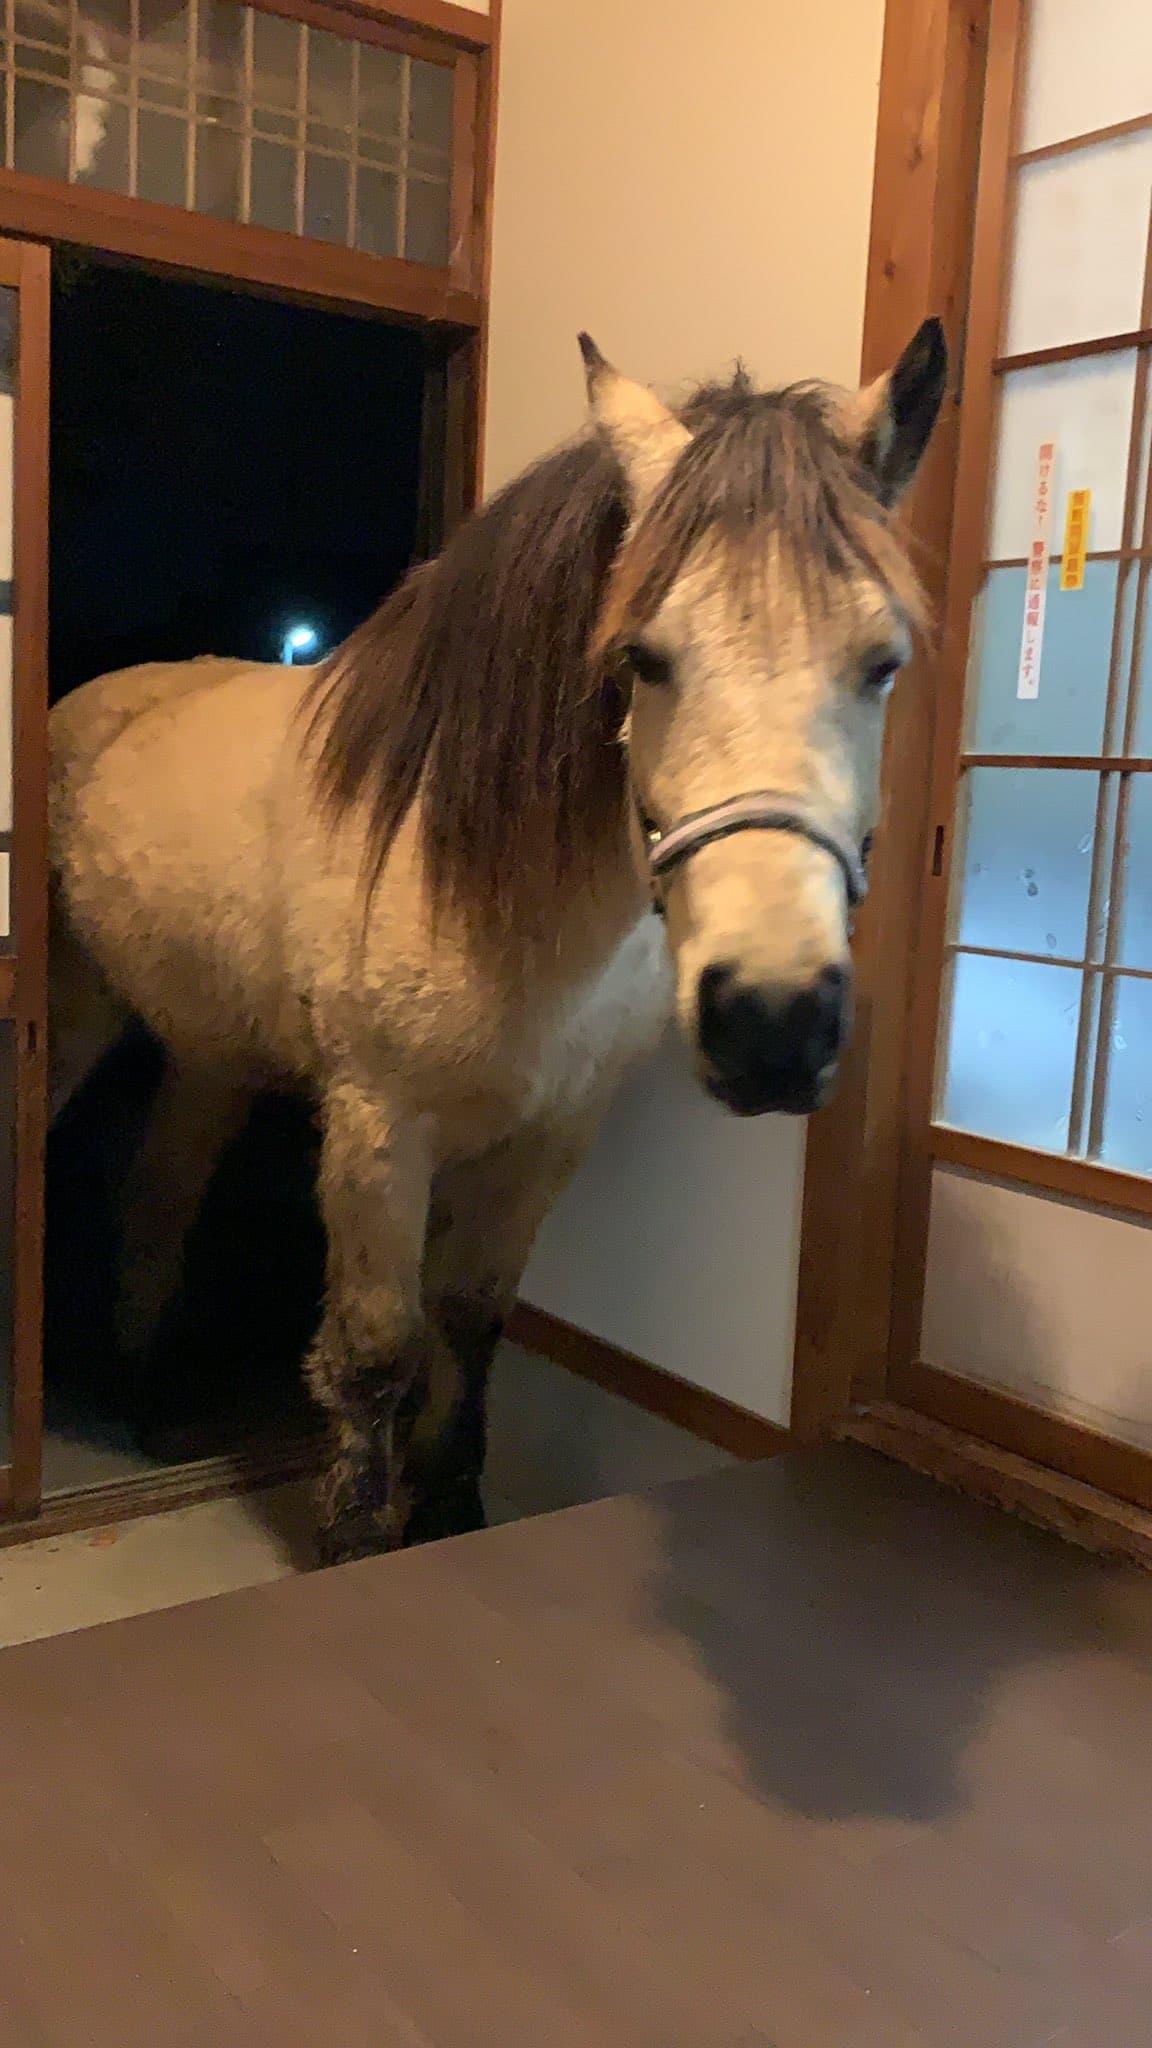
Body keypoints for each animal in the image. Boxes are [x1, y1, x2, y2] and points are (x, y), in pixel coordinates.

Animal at [47, 322, 947, 1562]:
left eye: (883, 661)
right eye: (641, 657)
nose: (773, 1022)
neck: (489, 885)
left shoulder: (551, 1135)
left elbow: (470, 1320)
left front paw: (451, 1509)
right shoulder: (378, 1131)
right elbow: (376, 1350)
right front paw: (356, 1541)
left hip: (208, 1050)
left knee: (160, 1192)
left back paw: (150, 1399)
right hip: (77, 1009)